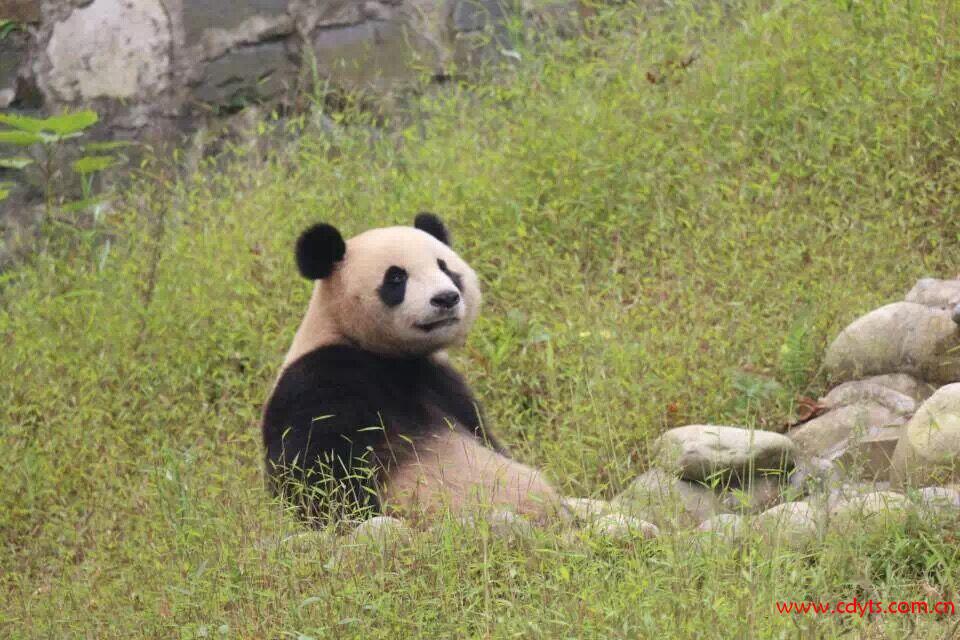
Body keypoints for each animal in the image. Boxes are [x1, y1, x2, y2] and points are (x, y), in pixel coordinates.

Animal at [264, 214, 564, 524]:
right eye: (397, 277)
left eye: (445, 267)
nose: (446, 298)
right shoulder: (319, 379)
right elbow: (318, 467)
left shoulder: (441, 381)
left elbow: (482, 433)